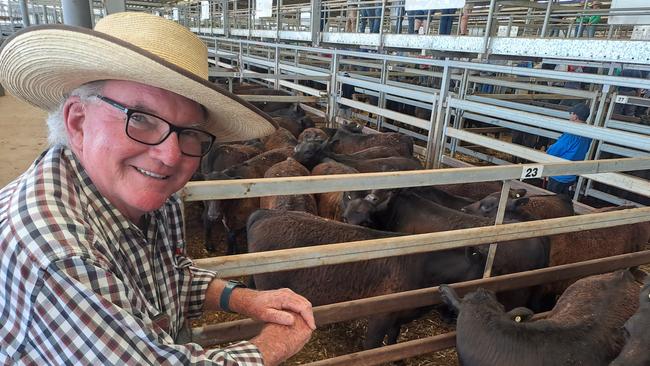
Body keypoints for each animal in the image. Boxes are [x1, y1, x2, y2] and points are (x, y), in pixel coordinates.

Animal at [246, 209, 484, 348]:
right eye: (481, 268)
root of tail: (266, 214)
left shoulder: (398, 315)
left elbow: (394, 338)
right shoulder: (381, 314)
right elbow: (372, 345)